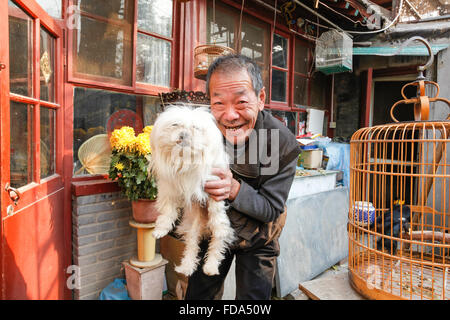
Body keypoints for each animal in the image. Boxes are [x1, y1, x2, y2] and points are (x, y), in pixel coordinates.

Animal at [150, 106, 236, 276]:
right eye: (175, 125)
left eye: (195, 128)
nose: (184, 134)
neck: (186, 160)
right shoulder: (169, 190)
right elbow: (167, 211)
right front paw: (160, 230)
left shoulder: (215, 186)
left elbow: (216, 214)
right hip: (191, 227)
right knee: (192, 245)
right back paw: (186, 267)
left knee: (217, 241)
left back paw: (210, 267)